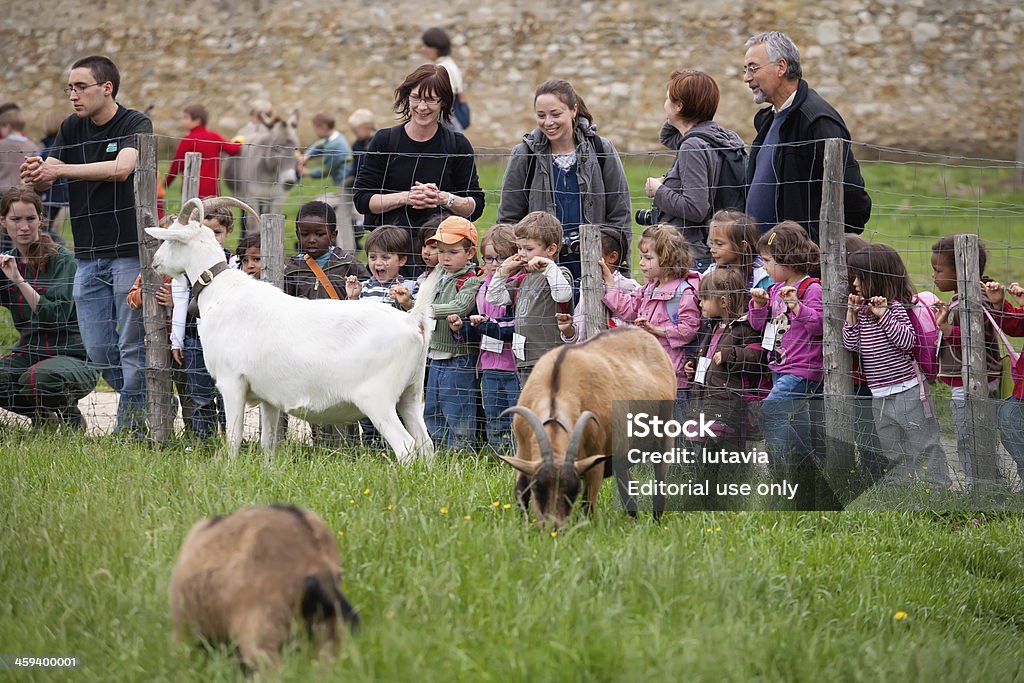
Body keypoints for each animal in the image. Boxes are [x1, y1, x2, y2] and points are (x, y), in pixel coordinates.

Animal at [149, 197, 438, 464]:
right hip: (410, 395)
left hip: (377, 399)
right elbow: (267, 443)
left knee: (407, 448)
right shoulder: (267, 396)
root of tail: (412, 321)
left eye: (171, 239)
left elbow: (233, 438)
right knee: (427, 445)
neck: (223, 291)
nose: (155, 262)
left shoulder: (232, 382)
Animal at [495, 327, 679, 528]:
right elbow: (521, 491)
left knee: (659, 484)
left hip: (664, 436)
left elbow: (587, 505)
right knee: (628, 488)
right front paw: (524, 526)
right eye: (538, 486)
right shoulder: (523, 451)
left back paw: (656, 523)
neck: (556, 385)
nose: (555, 527)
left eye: (573, 490)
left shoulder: (596, 460)